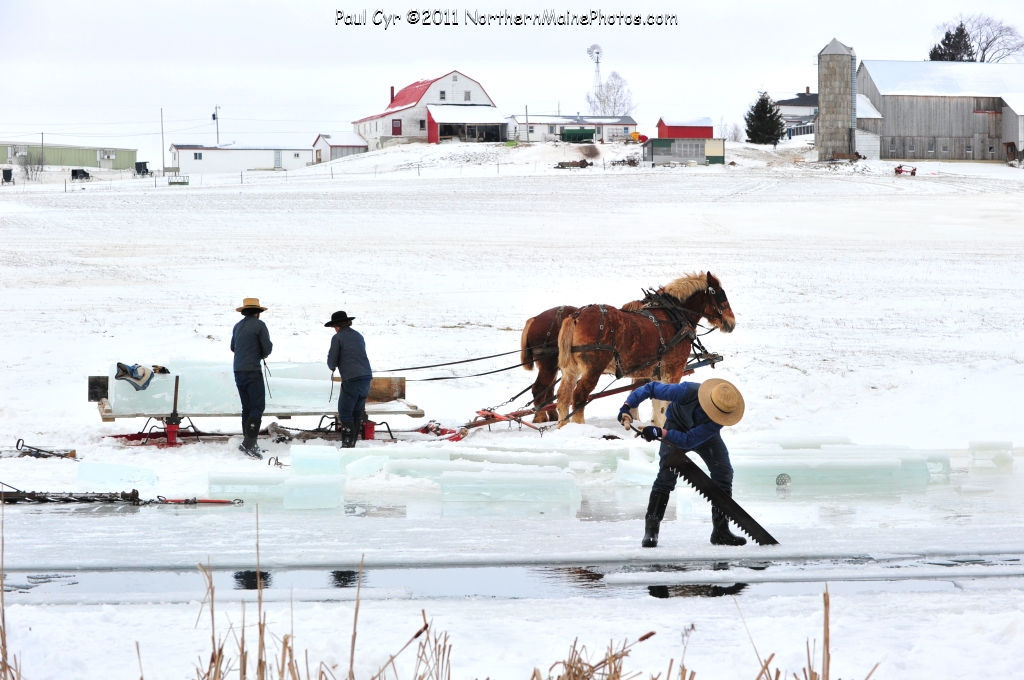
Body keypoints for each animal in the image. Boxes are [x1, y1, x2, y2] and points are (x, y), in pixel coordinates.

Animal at [552, 270, 737, 426]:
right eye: (720, 296)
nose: (731, 323)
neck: (674, 316)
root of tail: (576, 316)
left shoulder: (656, 373)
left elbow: (657, 401)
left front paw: (657, 425)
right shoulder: (673, 369)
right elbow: (666, 403)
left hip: (571, 369)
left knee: (563, 397)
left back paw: (563, 426)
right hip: (593, 368)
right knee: (578, 397)